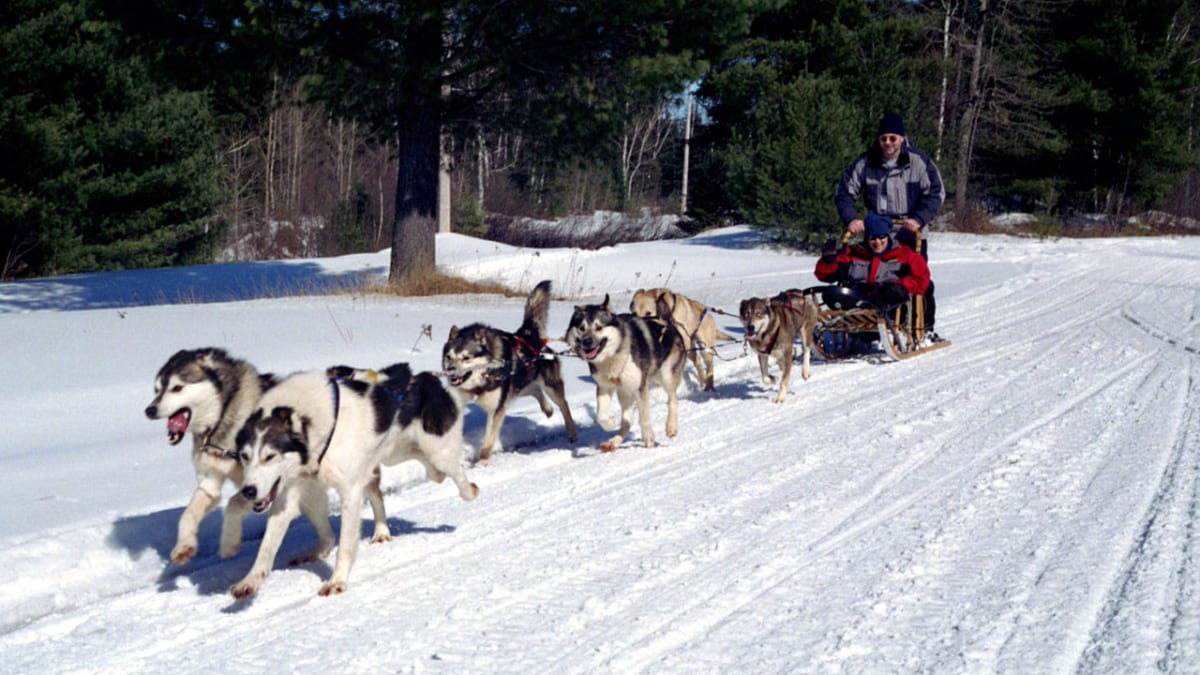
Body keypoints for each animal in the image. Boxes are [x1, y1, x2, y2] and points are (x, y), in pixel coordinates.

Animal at [144, 345, 277, 562]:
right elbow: (188, 514)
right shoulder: (209, 482)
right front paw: (184, 546)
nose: (150, 410)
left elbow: (233, 504)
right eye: (157, 390)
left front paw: (229, 541)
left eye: (177, 388)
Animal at [229, 362, 477, 598]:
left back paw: (470, 490)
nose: (248, 491)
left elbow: (346, 546)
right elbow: (266, 547)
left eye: (270, 456)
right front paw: (250, 581)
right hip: (383, 461)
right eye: (244, 456)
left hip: (437, 453)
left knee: (453, 472)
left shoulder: (350, 491)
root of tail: (427, 379)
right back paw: (372, 534)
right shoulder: (289, 495)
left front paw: (337, 581)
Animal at [444, 278, 578, 461]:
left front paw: (482, 462)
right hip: (519, 385)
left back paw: (571, 431)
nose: (450, 371)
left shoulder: (497, 409)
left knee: (564, 405)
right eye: (449, 357)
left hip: (550, 386)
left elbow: (488, 442)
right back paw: (548, 409)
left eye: (466, 358)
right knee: (535, 390)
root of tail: (529, 336)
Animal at [561, 294, 686, 451]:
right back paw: (613, 442)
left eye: (599, 327)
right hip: (624, 392)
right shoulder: (604, 387)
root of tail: (666, 322)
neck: (612, 356)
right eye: (581, 328)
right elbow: (600, 416)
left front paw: (648, 438)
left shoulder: (640, 387)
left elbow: (644, 417)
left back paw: (671, 427)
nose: (587, 342)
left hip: (666, 376)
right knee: (627, 421)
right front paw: (610, 423)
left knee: (673, 400)